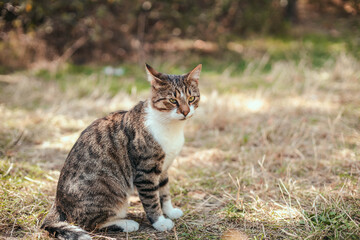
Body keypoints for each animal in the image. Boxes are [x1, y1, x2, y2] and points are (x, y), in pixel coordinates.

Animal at [41, 62, 202, 239]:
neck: (170, 126)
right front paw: (159, 222)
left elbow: (164, 191)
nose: (186, 112)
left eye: (191, 98)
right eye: (172, 100)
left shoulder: (164, 168)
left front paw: (170, 211)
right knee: (89, 223)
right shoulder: (146, 172)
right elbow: (152, 200)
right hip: (110, 189)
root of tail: (57, 203)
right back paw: (126, 223)